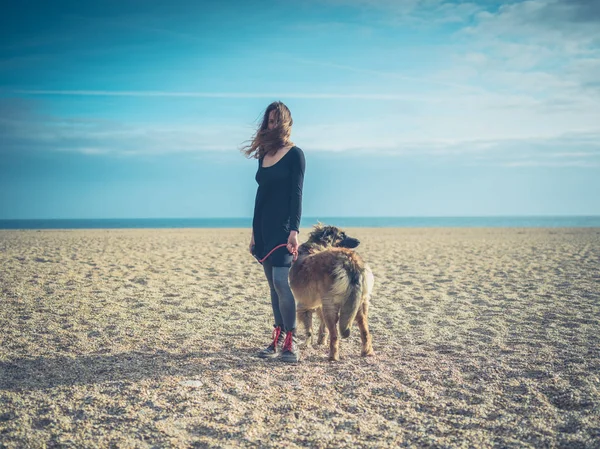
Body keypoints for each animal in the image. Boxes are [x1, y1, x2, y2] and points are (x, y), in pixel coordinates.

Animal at [288, 224, 372, 360]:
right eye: (342, 235)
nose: (358, 241)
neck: (314, 246)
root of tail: (350, 261)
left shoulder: (305, 305)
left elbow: (309, 329)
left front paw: (307, 344)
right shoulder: (319, 304)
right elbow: (321, 327)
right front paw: (320, 341)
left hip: (331, 306)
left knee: (335, 335)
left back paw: (332, 356)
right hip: (359, 305)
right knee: (365, 332)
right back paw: (367, 352)